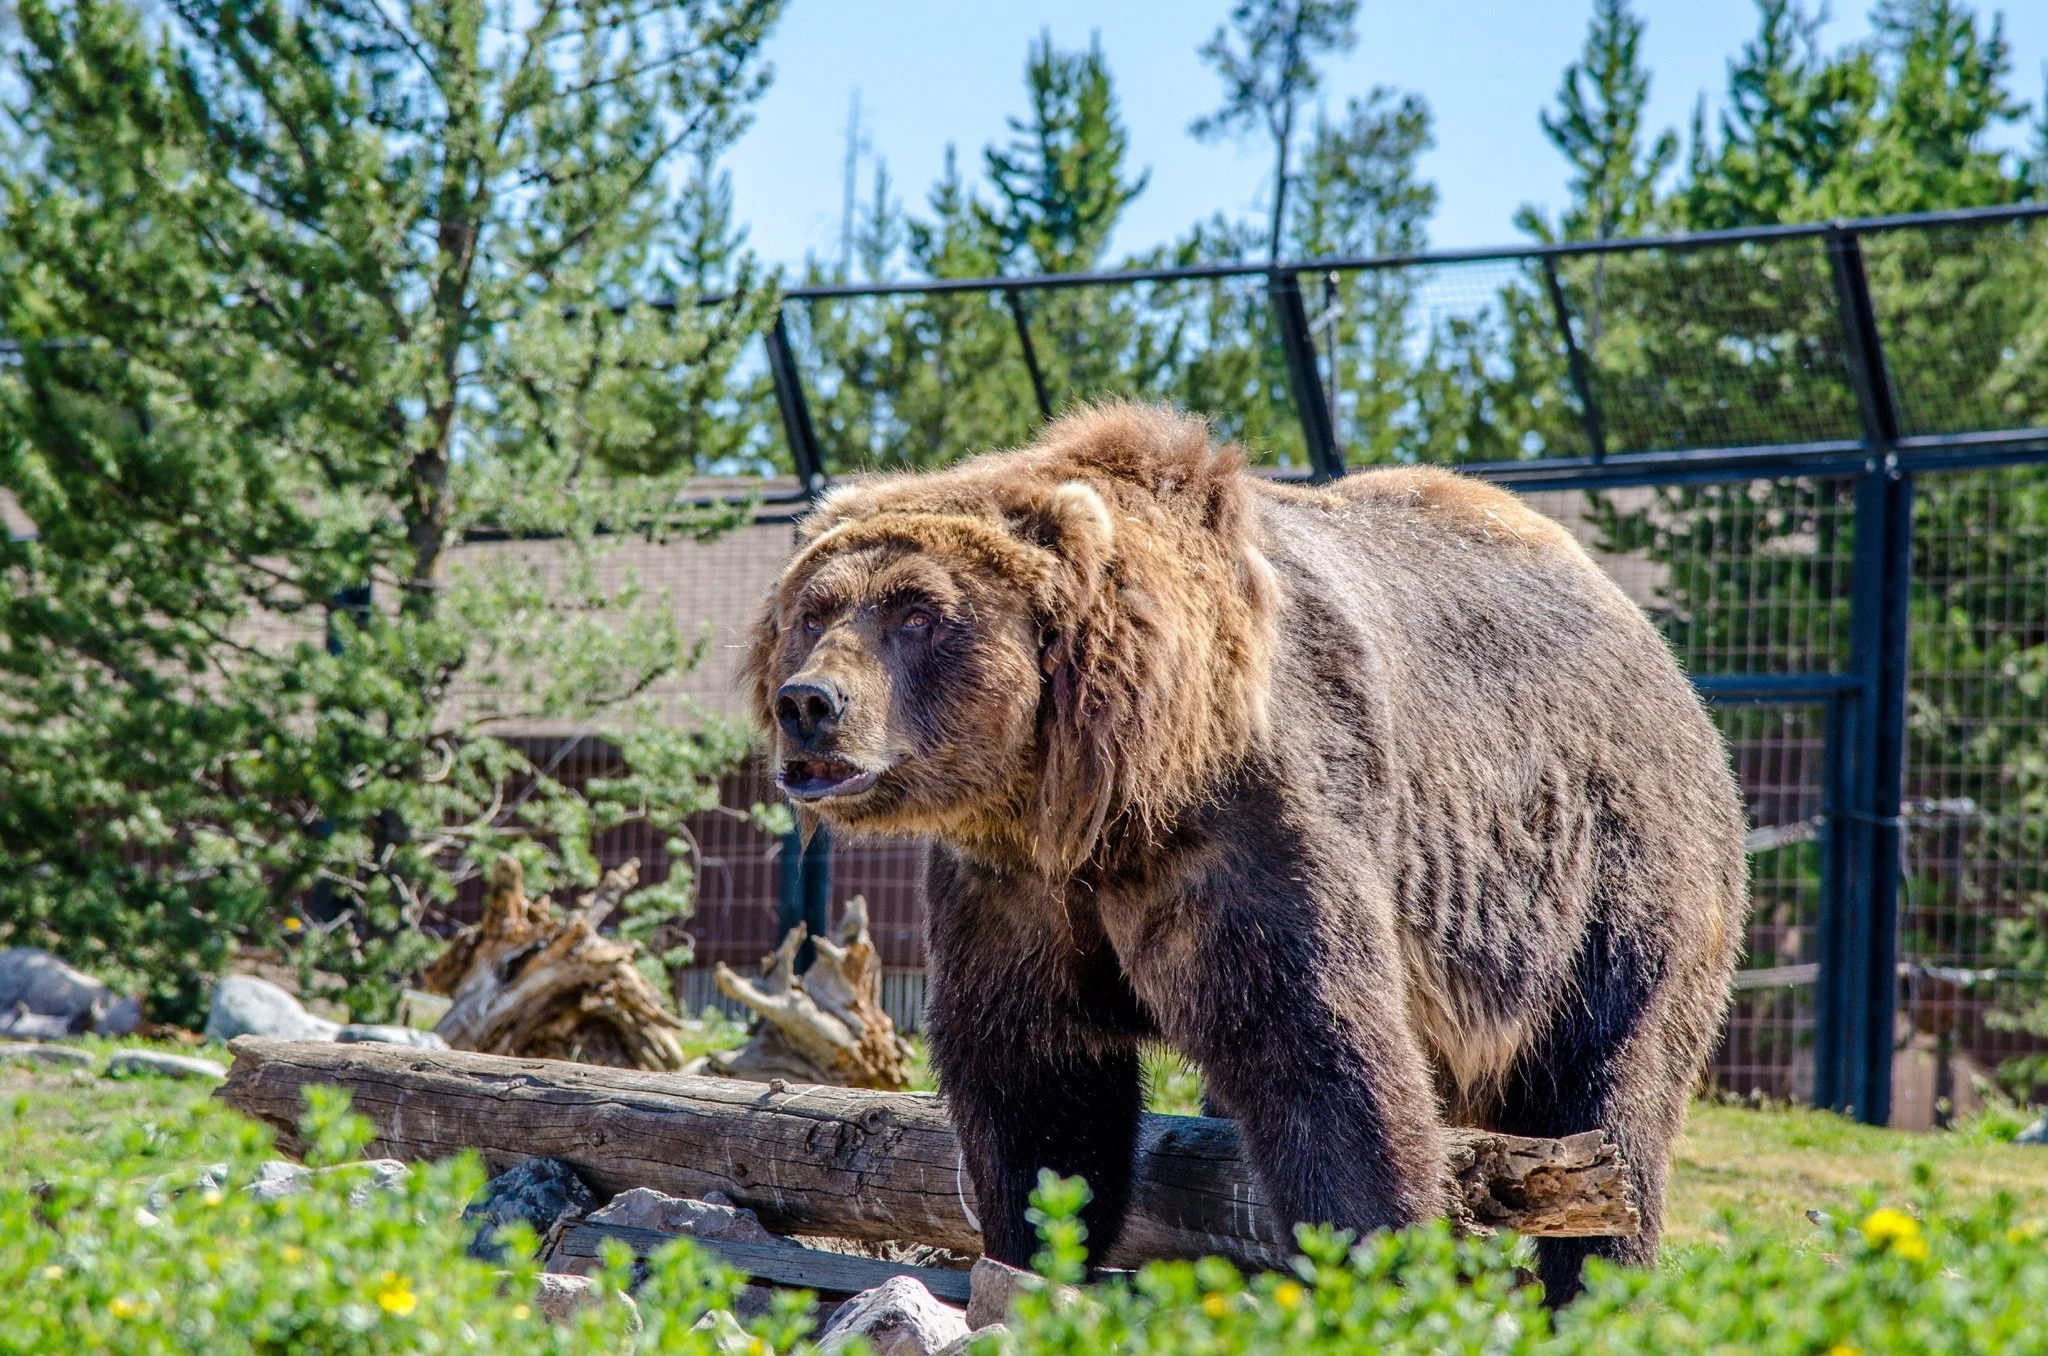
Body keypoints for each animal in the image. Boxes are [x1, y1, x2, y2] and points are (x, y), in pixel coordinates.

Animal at [745, 402, 1747, 1303]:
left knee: (1613, 1097)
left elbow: (1326, 1061)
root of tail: (1661, 654)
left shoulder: (1256, 829)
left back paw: (1597, 1283)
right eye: (815, 611)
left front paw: (1377, 1261)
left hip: (1614, 873)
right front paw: (1030, 1249)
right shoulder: (1017, 887)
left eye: (917, 613)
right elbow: (1032, 1077)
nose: (810, 702)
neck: (1108, 793)